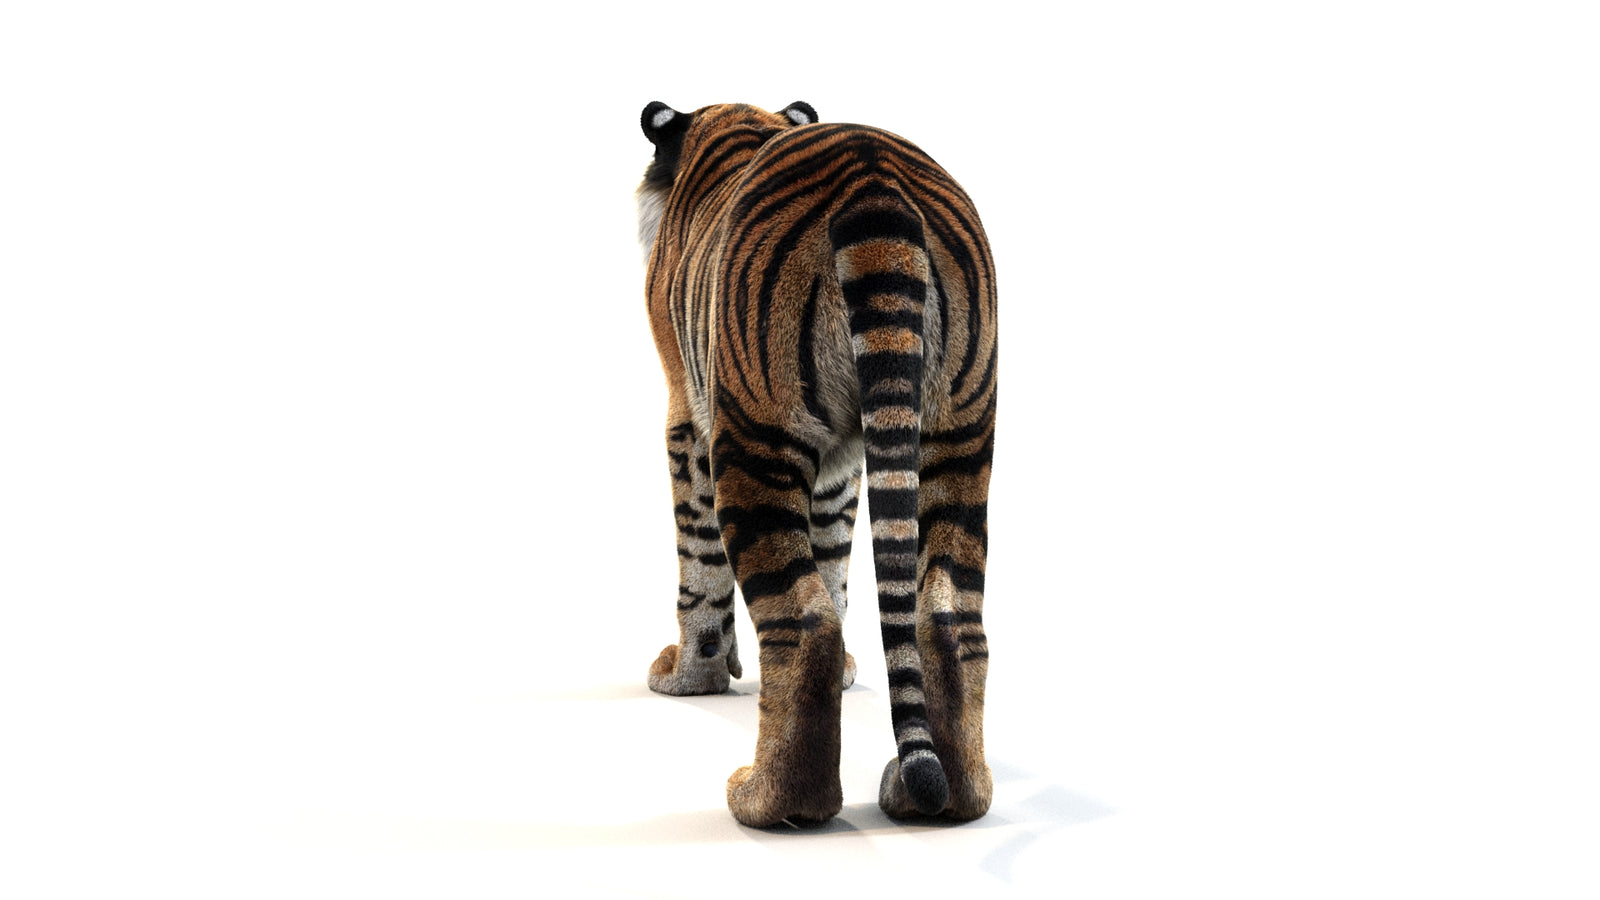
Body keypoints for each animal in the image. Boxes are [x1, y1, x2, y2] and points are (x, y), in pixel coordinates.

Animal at [635, 101, 997, 827]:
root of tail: (875, 183)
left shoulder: (686, 414)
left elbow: (699, 564)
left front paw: (690, 676)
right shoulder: (843, 465)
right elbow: (834, 562)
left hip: (756, 436)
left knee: (804, 626)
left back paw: (766, 800)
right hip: (960, 438)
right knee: (949, 617)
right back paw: (948, 797)